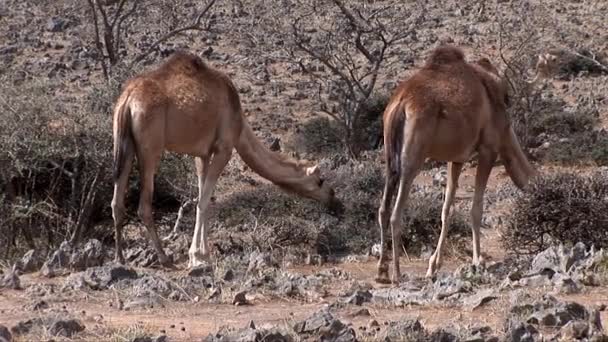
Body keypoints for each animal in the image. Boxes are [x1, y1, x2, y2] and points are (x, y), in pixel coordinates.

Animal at [111, 52, 344, 268]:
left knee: (116, 201)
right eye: (320, 181)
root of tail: (128, 99)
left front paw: (203, 254)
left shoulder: (202, 153)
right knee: (143, 205)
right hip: (150, 147)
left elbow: (202, 196)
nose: (336, 200)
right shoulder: (224, 148)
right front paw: (196, 257)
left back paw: (120, 257)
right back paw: (164, 257)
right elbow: (204, 201)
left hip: (123, 142)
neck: (240, 124)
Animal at [378, 46, 540, 284]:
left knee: (383, 206)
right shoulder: (488, 150)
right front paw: (477, 262)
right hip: (413, 157)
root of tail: (400, 104)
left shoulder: (456, 158)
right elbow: (476, 208)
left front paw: (433, 267)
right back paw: (397, 274)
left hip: (390, 156)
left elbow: (446, 209)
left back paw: (381, 270)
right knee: (396, 212)